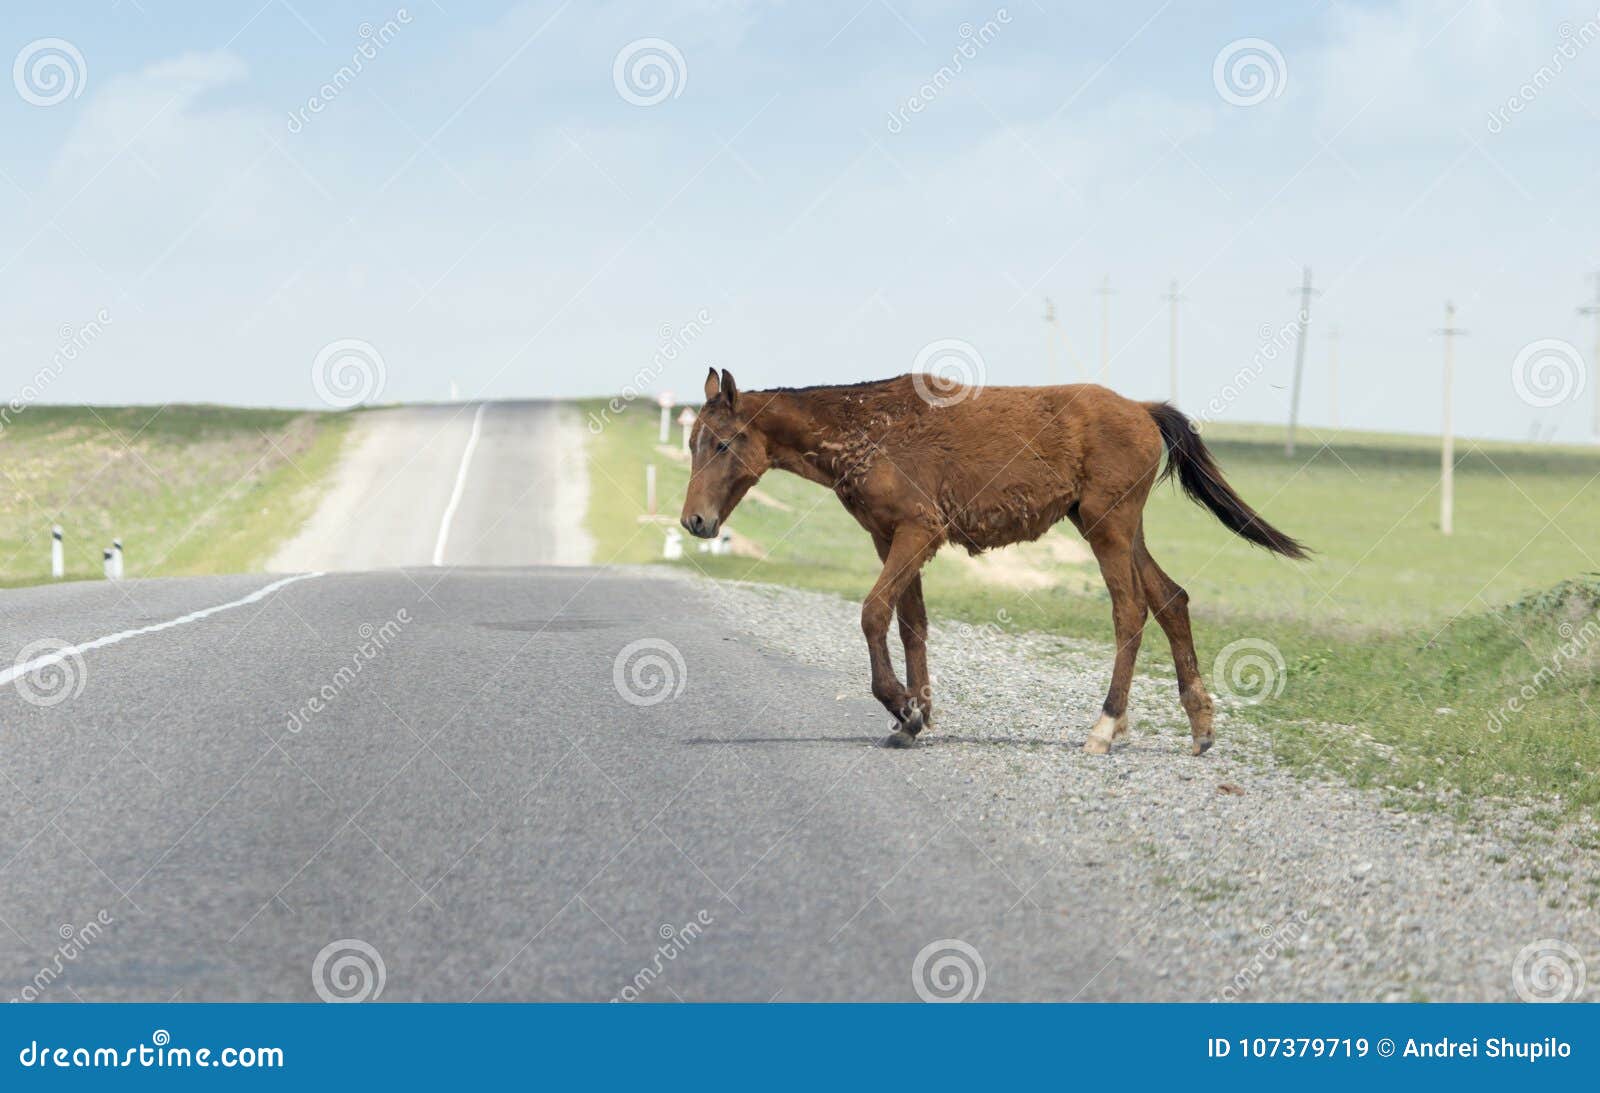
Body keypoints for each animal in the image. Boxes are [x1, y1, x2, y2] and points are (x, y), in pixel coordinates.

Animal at [675, 368, 1299, 752]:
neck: (866, 431)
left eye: (724, 444)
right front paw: (914, 718)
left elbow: (874, 613)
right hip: (1118, 529)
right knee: (1170, 600)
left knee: (1130, 612)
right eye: (691, 442)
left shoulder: (917, 533)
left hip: (1108, 529)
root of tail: (1143, 411)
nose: (695, 522)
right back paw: (1199, 726)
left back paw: (1103, 727)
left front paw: (902, 708)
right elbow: (911, 624)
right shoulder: (890, 538)